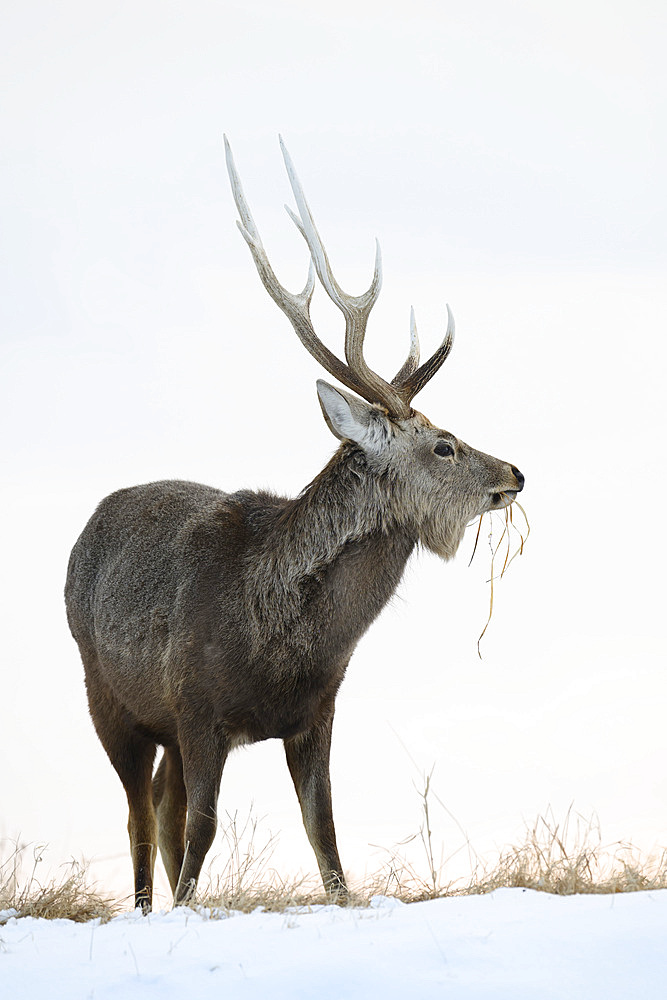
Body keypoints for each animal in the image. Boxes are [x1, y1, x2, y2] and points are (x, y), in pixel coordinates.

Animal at [66, 137, 528, 912]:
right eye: (443, 445)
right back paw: (145, 907)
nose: (515, 473)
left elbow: (326, 838)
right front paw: (186, 909)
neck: (283, 644)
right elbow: (204, 827)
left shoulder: (317, 712)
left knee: (158, 800)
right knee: (137, 811)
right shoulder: (196, 707)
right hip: (107, 693)